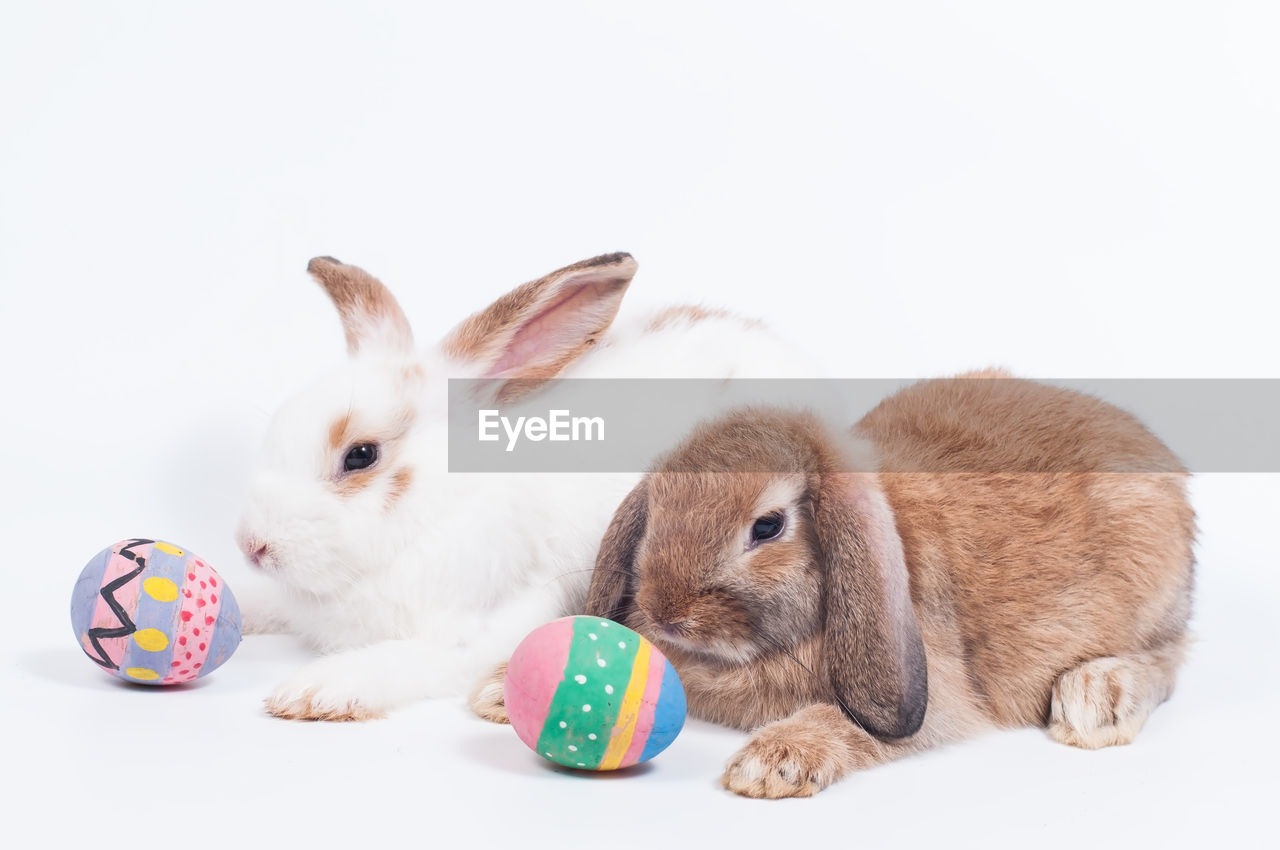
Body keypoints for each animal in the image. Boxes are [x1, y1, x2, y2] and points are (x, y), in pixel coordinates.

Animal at [576, 371, 1192, 798]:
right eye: (657, 506)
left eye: (768, 526)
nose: (666, 613)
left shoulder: (931, 698)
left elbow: (849, 722)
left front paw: (770, 764)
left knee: (1169, 658)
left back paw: (1096, 700)